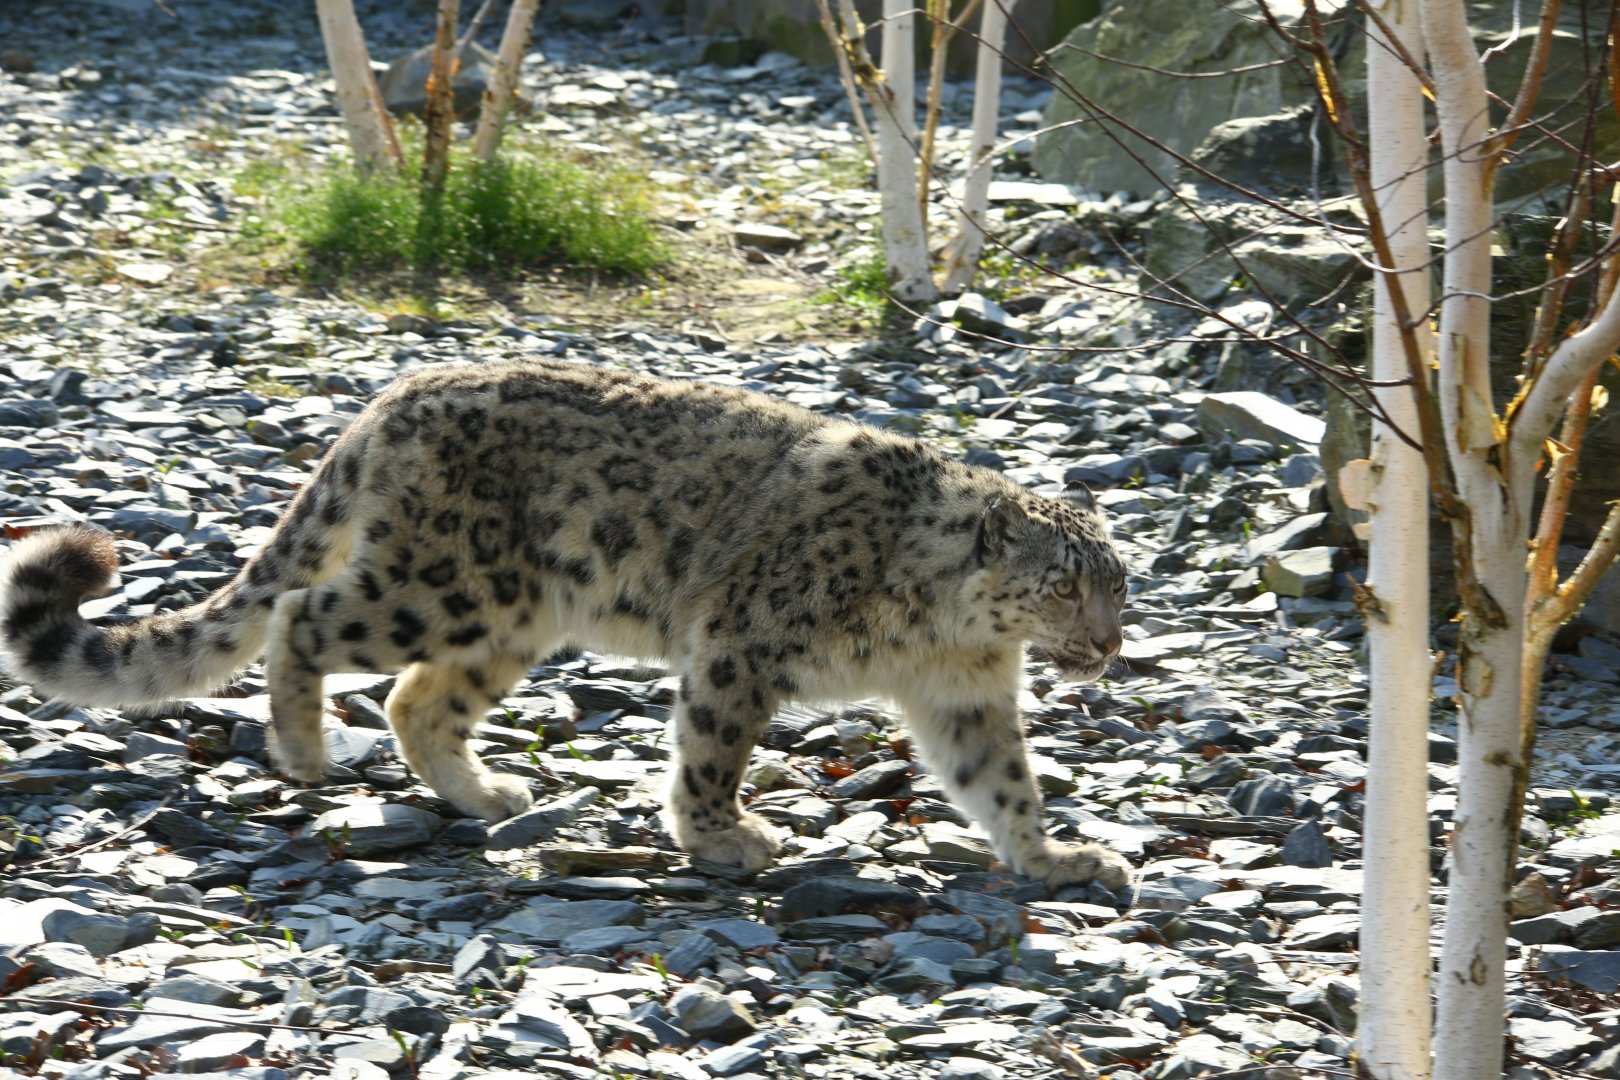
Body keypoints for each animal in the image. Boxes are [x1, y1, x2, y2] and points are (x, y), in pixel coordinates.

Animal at [0, 357, 1132, 889]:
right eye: (1062, 584)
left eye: (1121, 585)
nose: (1112, 644)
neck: (938, 629)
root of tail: (397, 392)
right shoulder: (742, 645)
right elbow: (712, 749)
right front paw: (722, 838)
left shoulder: (966, 692)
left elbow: (1002, 780)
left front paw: (1058, 860)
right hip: (434, 583)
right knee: (300, 613)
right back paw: (306, 750)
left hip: (504, 614)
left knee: (418, 700)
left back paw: (487, 794)